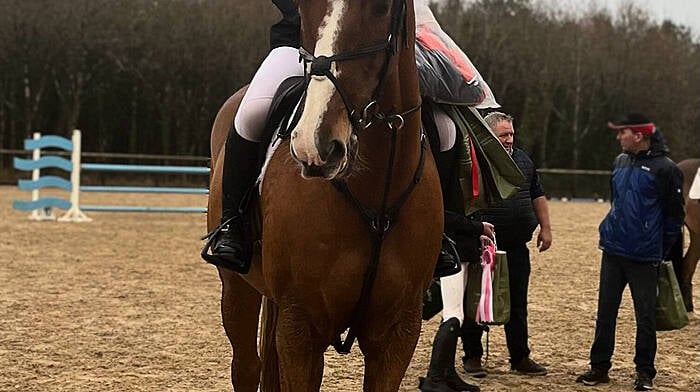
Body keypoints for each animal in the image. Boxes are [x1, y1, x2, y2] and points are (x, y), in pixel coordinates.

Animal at [205, 1, 440, 390]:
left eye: (381, 7)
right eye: (302, 7)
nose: (315, 145)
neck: (375, 198)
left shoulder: (398, 335)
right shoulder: (301, 329)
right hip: (237, 286)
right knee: (247, 366)